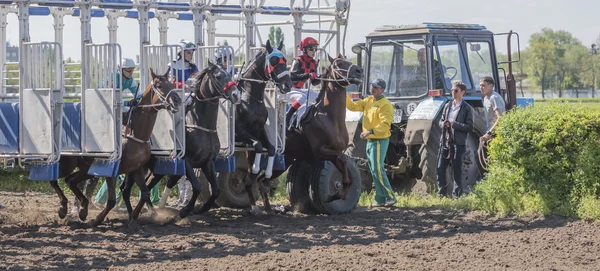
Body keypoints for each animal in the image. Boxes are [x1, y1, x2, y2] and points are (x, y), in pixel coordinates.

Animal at [48, 69, 180, 228]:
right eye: (159, 85)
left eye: (171, 84)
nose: (177, 100)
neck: (134, 133)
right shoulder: (110, 171)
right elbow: (111, 200)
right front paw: (96, 219)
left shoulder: (136, 169)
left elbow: (145, 193)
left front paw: (133, 218)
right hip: (68, 164)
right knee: (54, 180)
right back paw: (63, 208)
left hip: (86, 168)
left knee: (70, 181)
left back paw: (83, 209)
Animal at [131, 61, 241, 219]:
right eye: (218, 76)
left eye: (229, 74)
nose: (236, 94)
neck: (200, 124)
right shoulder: (187, 161)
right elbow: (196, 186)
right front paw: (185, 210)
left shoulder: (208, 162)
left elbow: (216, 189)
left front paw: (201, 208)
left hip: (157, 168)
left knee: (147, 183)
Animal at [234, 39, 290, 216]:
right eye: (274, 61)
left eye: (285, 60)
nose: (288, 84)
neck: (249, 98)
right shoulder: (240, 132)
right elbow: (258, 146)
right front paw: (253, 175)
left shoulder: (258, 130)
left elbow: (270, 148)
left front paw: (267, 175)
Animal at [247, 53, 364, 215]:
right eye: (339, 64)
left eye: (347, 60)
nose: (359, 71)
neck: (329, 116)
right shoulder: (320, 151)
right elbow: (343, 161)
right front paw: (336, 192)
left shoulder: (334, 152)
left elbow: (346, 169)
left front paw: (338, 193)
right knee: (250, 180)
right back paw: (255, 207)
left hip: (285, 161)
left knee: (262, 181)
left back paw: (269, 209)